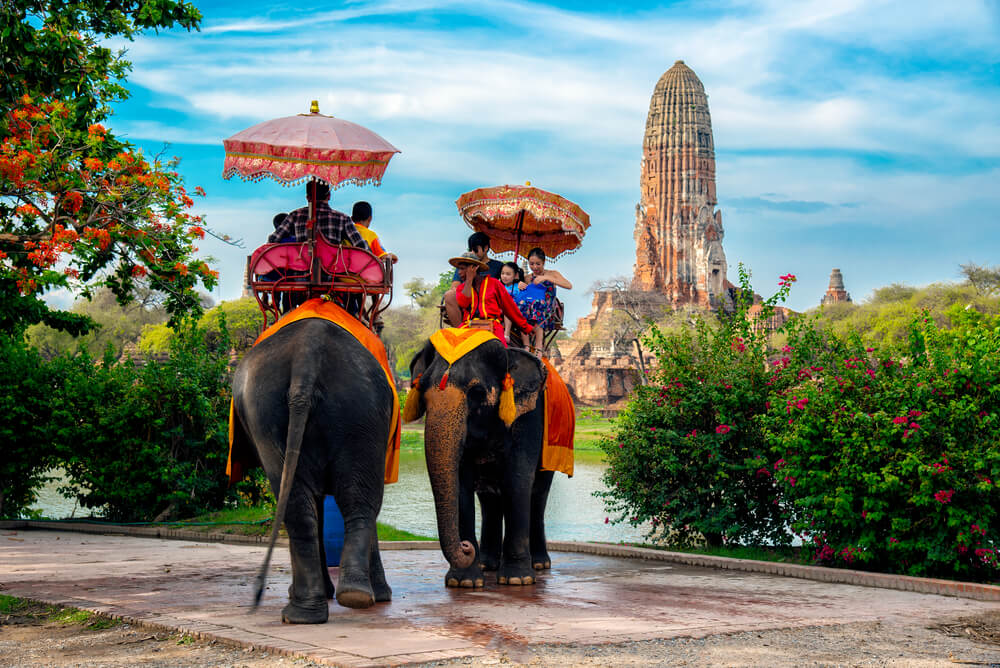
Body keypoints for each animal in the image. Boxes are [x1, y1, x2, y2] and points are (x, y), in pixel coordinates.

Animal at [231, 316, 394, 624]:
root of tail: (307, 355)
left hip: (286, 412)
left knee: (310, 502)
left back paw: (314, 608)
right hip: (357, 408)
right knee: (349, 500)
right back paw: (338, 602)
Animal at [406, 336, 556, 588]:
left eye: (476, 392)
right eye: (423, 389)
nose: (465, 547)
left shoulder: (530, 416)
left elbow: (517, 479)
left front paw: (518, 579)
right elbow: (460, 483)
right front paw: (464, 582)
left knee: (538, 494)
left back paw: (539, 565)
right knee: (490, 499)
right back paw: (487, 565)